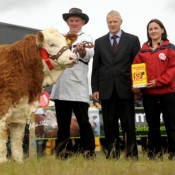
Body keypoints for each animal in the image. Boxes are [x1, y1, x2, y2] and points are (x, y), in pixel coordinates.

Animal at [0, 27, 77, 163]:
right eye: (51, 44)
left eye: (66, 43)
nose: (72, 57)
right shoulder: (3, 108)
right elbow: (3, 139)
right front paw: (3, 162)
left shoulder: (20, 112)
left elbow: (17, 141)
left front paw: (18, 162)